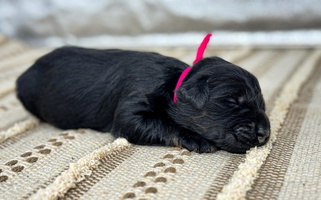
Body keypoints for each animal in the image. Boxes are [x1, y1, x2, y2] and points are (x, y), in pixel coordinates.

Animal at [16, 46, 268, 153]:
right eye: (233, 101)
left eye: (263, 105)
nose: (265, 133)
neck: (172, 83)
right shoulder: (133, 105)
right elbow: (162, 124)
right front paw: (196, 139)